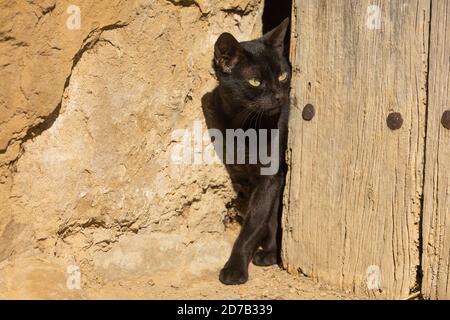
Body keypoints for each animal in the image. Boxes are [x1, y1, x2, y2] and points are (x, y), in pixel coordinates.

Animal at [212, 16, 290, 284]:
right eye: (255, 81)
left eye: (283, 76)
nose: (278, 96)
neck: (246, 126)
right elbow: (267, 217)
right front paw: (268, 251)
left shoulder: (272, 175)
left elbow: (255, 223)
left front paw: (236, 267)